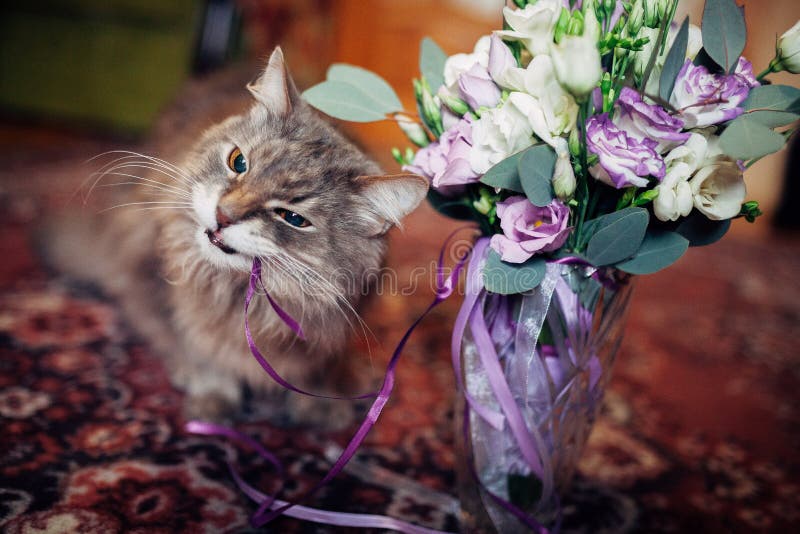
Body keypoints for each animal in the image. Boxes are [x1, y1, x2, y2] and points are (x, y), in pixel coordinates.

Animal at [42, 48, 432, 428]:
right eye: (238, 162)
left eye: (293, 218)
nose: (224, 214)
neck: (243, 295)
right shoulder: (157, 281)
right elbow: (200, 346)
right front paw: (213, 395)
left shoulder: (332, 323)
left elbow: (318, 365)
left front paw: (321, 402)